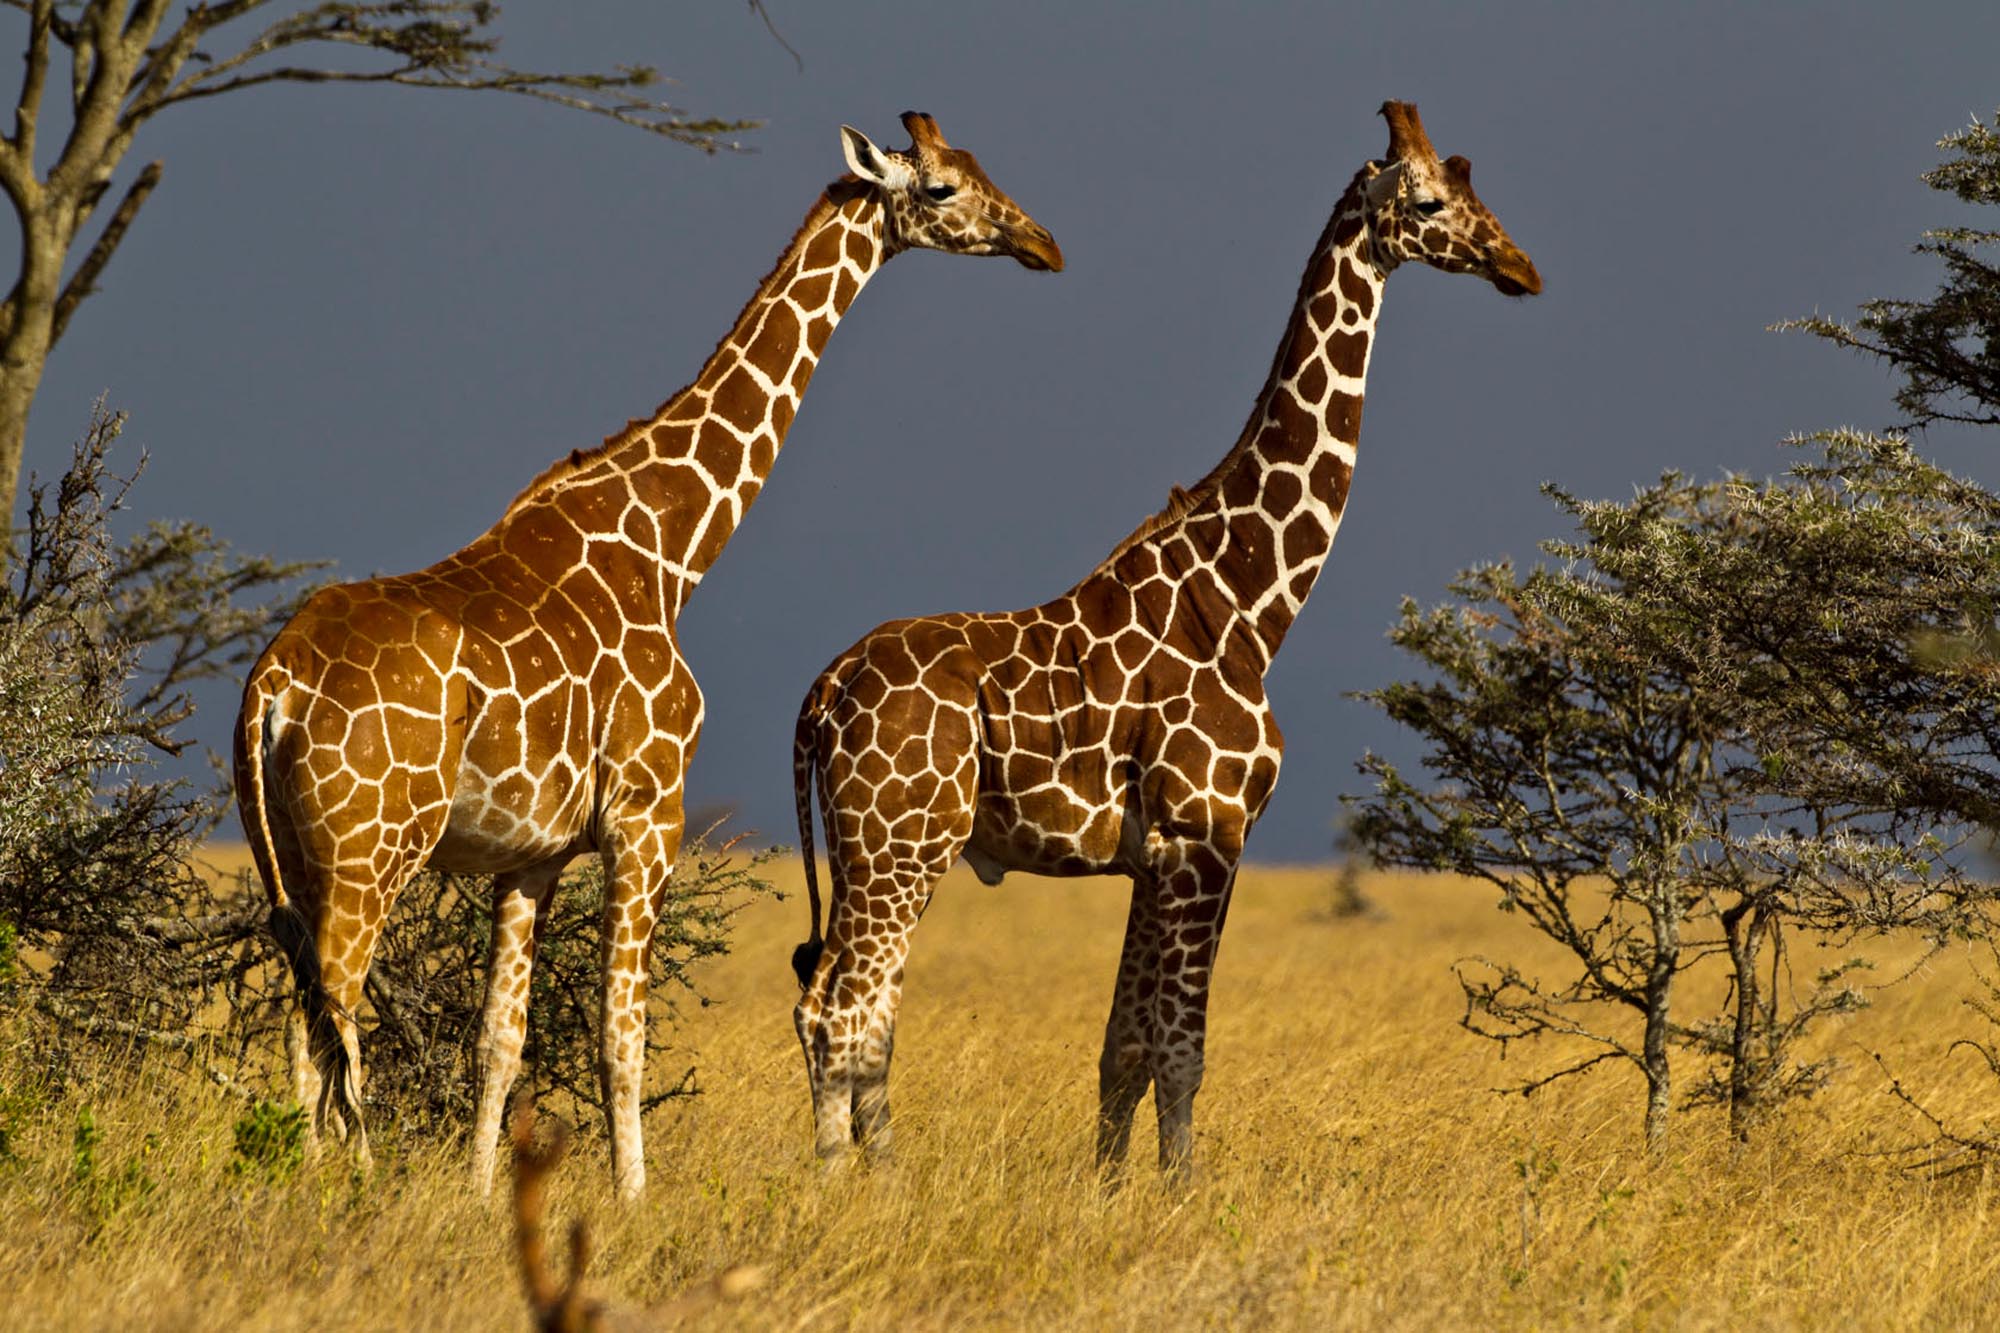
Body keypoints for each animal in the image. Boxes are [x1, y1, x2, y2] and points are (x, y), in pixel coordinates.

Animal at [233, 112, 1062, 1200]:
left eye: (973, 168)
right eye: (938, 188)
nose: (1041, 244)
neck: (671, 548)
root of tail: (271, 688)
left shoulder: (532, 852)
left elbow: (501, 1038)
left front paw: (479, 1196)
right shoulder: (649, 811)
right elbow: (616, 1034)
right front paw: (633, 1200)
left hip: (288, 855)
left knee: (300, 1019)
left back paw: (303, 1177)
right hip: (370, 846)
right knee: (337, 1010)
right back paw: (356, 1181)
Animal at [789, 102, 1539, 1171]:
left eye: (1478, 181)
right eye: (1433, 200)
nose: (1521, 267)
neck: (1249, 603)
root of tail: (821, 695)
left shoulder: (1157, 856)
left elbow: (1124, 1049)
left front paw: (1107, 1190)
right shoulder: (1206, 833)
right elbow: (1181, 1051)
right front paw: (1181, 1194)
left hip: (877, 853)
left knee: (850, 1007)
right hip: (900, 845)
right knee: (838, 1011)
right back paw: (845, 1186)